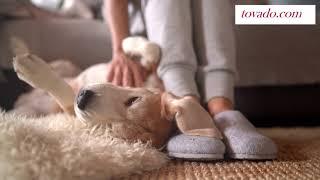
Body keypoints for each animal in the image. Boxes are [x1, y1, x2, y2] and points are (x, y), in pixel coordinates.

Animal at [12, 36, 222, 148]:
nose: (82, 98)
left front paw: (32, 71)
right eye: (133, 100)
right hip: (66, 64)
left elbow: (64, 93)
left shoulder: (72, 112)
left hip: (29, 111)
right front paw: (129, 44)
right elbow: (152, 51)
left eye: (111, 129)